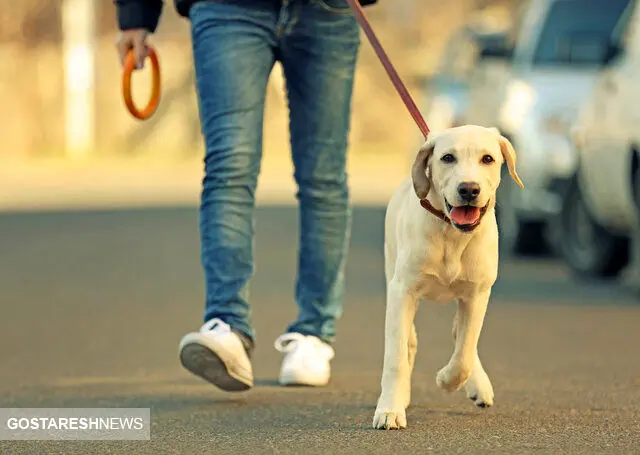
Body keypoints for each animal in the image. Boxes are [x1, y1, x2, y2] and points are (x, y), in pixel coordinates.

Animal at [372, 124, 524, 432]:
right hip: (393, 271)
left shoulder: (477, 294)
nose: (468, 189)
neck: (451, 234)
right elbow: (396, 357)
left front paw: (447, 379)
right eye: (447, 158)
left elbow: (464, 350)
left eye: (488, 159)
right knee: (409, 340)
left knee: (462, 335)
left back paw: (478, 385)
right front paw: (390, 409)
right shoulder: (402, 291)